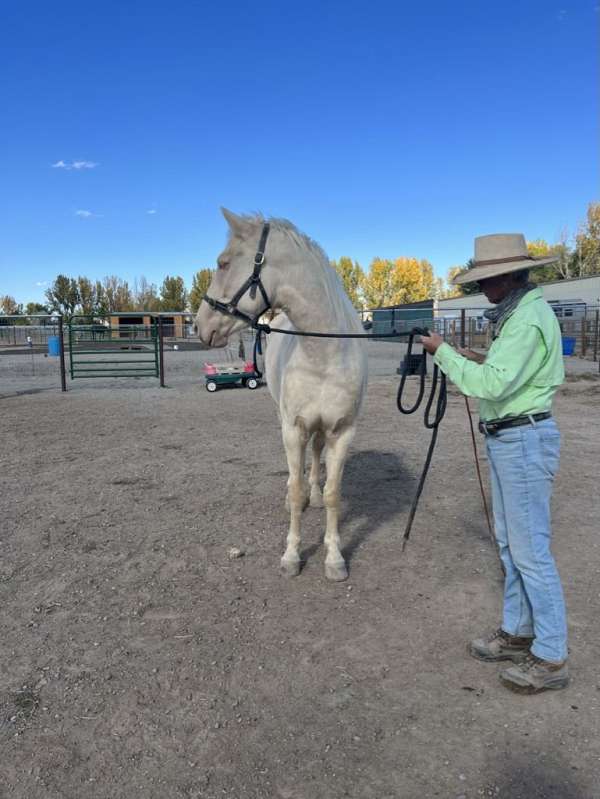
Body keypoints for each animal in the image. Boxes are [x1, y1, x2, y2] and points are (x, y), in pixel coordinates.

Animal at [195, 208, 368, 580]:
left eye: (223, 263)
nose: (200, 326)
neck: (323, 355)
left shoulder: (342, 432)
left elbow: (333, 495)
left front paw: (334, 558)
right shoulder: (293, 428)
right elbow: (296, 488)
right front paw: (291, 555)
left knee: (315, 456)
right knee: (296, 473)